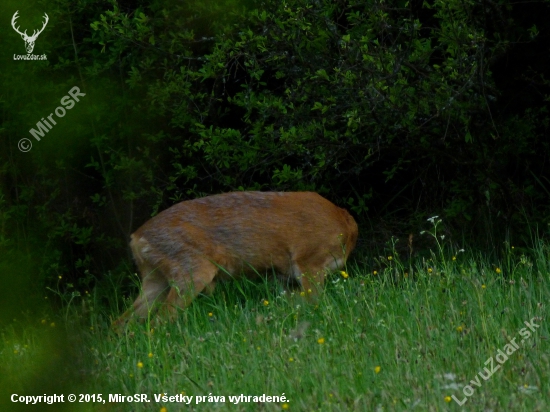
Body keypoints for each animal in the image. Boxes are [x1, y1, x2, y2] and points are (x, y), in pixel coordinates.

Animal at [114, 191, 360, 328]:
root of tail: (136, 238)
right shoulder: (309, 261)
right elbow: (315, 304)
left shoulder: (284, 278)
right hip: (191, 269)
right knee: (161, 319)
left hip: (156, 279)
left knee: (120, 322)